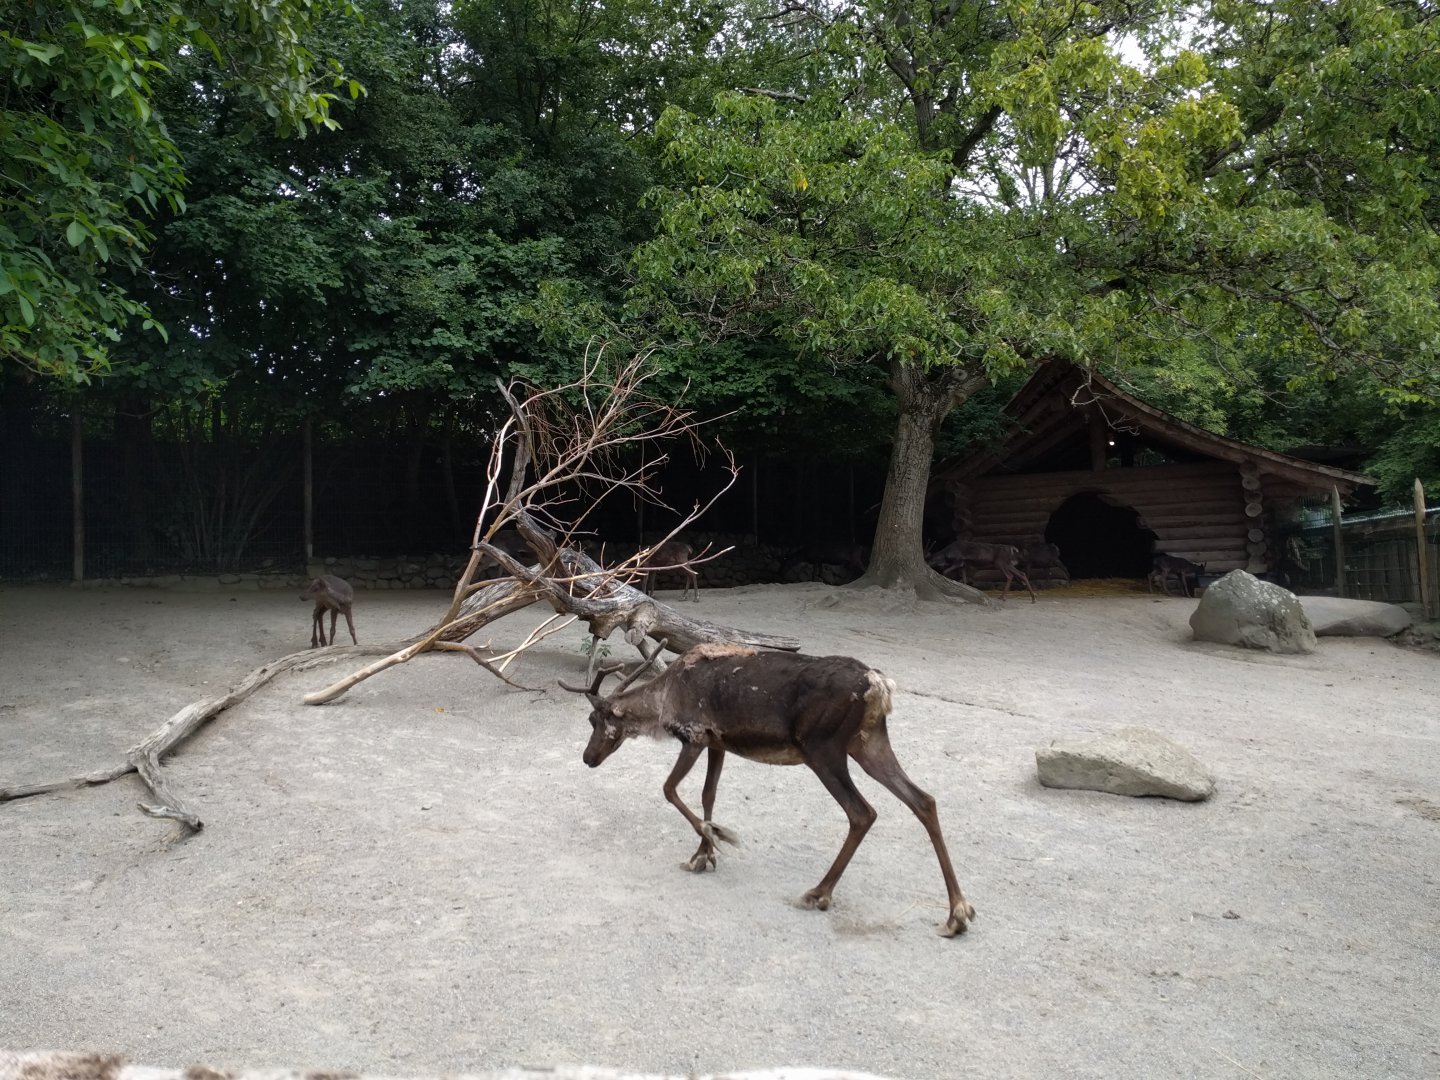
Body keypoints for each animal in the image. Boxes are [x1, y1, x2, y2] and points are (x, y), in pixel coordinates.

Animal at [561, 641, 975, 937]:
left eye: (595, 720)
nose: (587, 758)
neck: (663, 702)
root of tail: (880, 685)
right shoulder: (717, 742)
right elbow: (707, 794)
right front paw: (702, 854)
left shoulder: (694, 734)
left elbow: (669, 789)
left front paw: (718, 837)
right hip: (868, 742)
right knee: (924, 800)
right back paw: (957, 913)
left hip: (823, 748)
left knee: (863, 811)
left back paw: (818, 893)